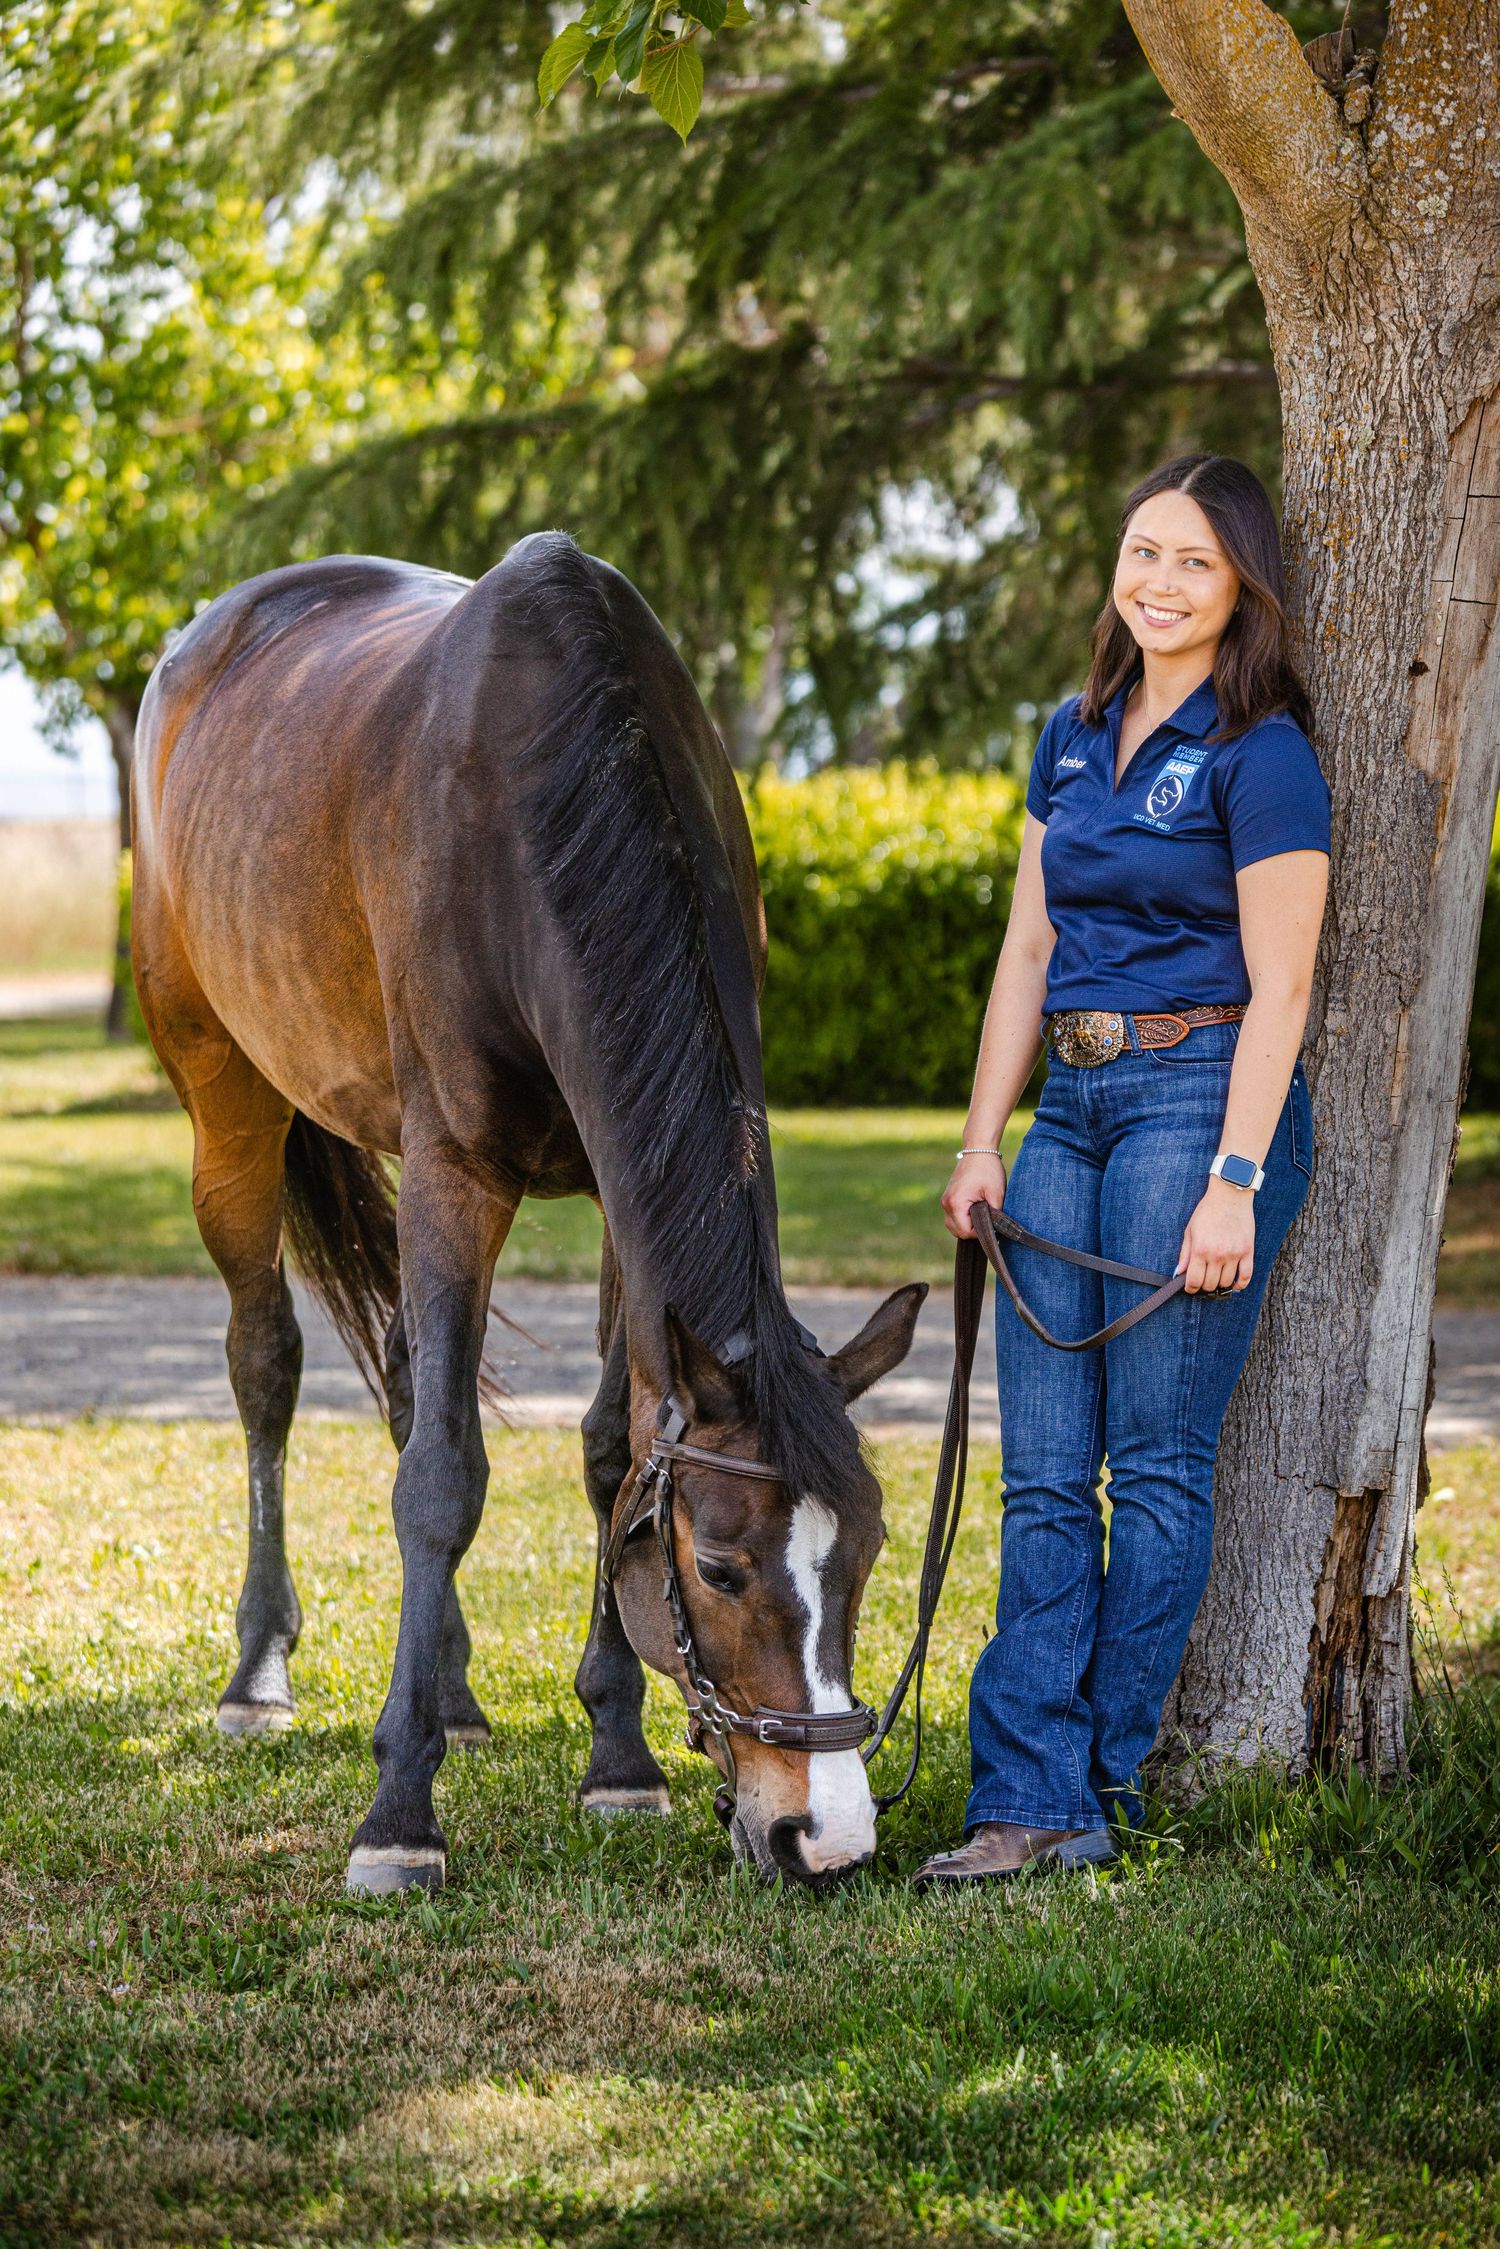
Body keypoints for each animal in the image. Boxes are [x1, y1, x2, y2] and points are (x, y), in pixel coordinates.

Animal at [131, 530, 926, 1893]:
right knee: (267, 1359)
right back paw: (259, 1671)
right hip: (226, 1098)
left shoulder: (618, 1183)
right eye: (720, 1565)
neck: (544, 804)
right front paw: (398, 1817)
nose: (822, 1833)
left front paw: (618, 1754)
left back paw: (447, 1690)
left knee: (406, 1367)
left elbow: (610, 1450)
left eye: (868, 1550)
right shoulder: (458, 1167)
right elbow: (443, 1480)